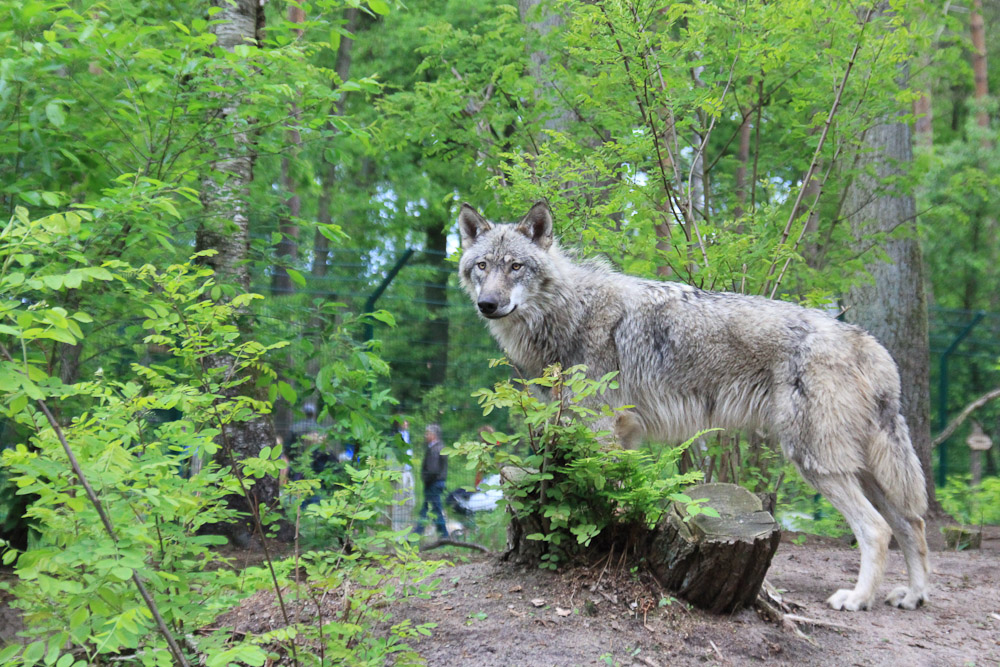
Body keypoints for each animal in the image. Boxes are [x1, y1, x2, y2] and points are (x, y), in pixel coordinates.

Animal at [458, 201, 928, 612]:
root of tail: (865, 341)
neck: (569, 312)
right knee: (911, 524)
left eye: (515, 266)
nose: (488, 304)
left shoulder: (601, 432)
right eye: (482, 266)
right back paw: (913, 596)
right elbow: (617, 496)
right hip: (863, 469)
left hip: (817, 463)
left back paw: (859, 599)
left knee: (878, 529)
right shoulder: (622, 435)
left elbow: (601, 499)